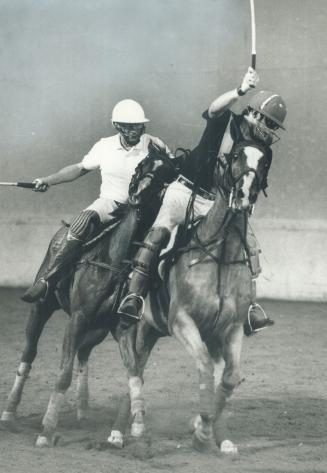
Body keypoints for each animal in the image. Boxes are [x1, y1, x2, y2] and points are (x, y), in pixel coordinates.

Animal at [0, 142, 179, 444]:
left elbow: (134, 373)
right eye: (142, 166)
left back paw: (83, 409)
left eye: (164, 173)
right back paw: (9, 412)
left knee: (83, 353)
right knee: (29, 353)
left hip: (97, 329)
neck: (115, 260)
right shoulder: (78, 318)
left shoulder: (122, 326)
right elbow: (63, 373)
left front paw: (135, 427)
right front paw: (47, 431)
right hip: (42, 309)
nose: (137, 197)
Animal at [109, 141, 272, 454]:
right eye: (236, 156)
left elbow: (228, 378)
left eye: (265, 162)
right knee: (136, 367)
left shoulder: (231, 328)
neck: (219, 256)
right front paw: (202, 434)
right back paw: (121, 431)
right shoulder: (182, 322)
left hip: (165, 332)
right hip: (139, 328)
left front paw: (209, 432)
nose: (244, 196)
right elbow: (206, 369)